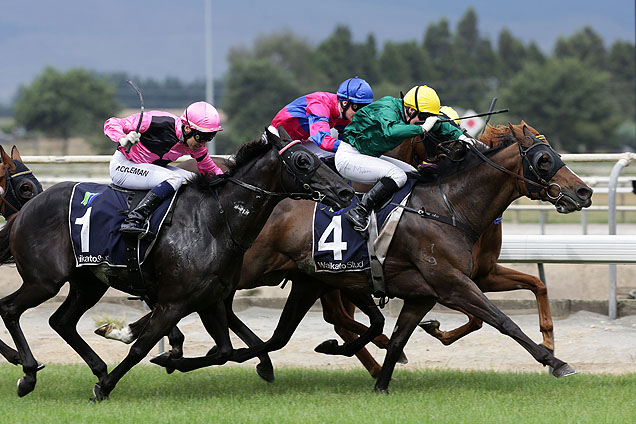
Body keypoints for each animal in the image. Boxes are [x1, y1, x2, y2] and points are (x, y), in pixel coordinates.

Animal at [0, 130, 356, 400]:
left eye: (322, 158)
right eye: (302, 160)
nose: (345, 191)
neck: (215, 221)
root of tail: (25, 209)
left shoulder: (210, 299)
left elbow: (224, 351)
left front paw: (169, 361)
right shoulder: (173, 302)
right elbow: (140, 348)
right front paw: (106, 386)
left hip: (89, 283)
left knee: (61, 321)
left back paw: (94, 368)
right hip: (44, 281)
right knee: (10, 309)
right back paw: (28, 373)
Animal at [152, 121, 592, 392]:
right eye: (545, 159)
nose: (584, 192)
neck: (448, 206)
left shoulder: (425, 292)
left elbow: (398, 338)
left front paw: (382, 382)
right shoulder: (452, 283)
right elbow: (502, 321)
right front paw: (555, 361)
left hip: (304, 279)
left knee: (273, 331)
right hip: (248, 271)